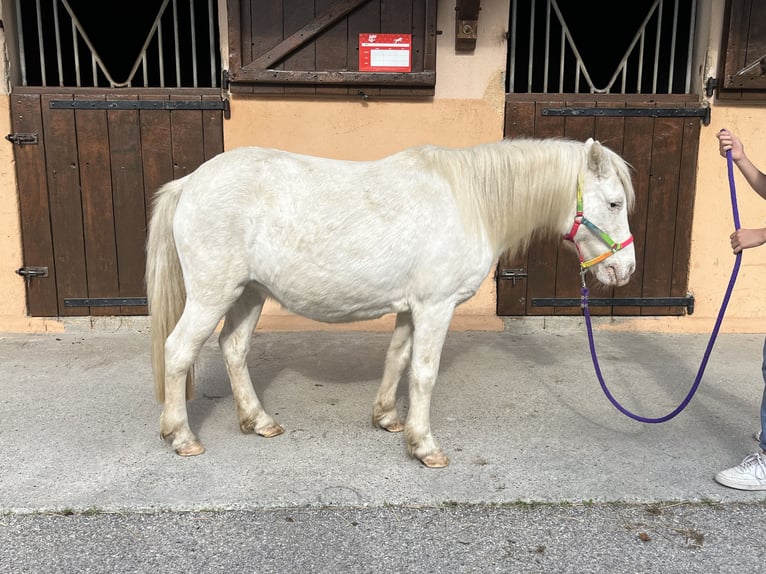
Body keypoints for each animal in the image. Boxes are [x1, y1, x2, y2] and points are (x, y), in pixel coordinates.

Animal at [146, 138, 636, 468]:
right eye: (614, 203)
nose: (625, 270)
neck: (467, 201)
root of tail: (189, 183)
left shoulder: (410, 307)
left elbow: (398, 359)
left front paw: (387, 419)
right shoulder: (436, 306)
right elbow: (424, 372)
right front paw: (424, 446)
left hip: (249, 293)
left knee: (233, 348)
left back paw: (258, 421)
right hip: (213, 295)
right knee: (177, 351)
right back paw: (181, 436)